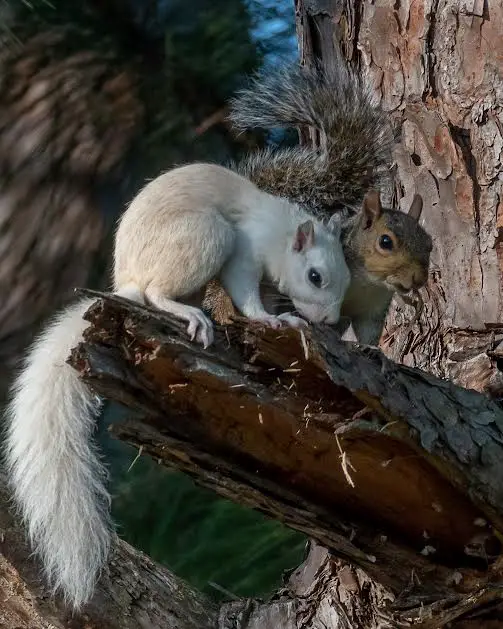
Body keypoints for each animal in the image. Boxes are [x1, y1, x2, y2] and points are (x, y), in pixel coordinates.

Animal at [3, 162, 350, 608]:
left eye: (346, 278)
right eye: (315, 276)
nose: (329, 322)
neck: (277, 230)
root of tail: (126, 283)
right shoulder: (244, 252)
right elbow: (246, 295)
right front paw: (271, 319)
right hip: (207, 236)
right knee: (154, 293)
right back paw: (189, 314)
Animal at [205, 63, 434, 344]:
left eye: (430, 244)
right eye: (385, 242)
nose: (418, 279)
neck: (371, 284)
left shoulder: (372, 311)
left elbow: (368, 335)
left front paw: (373, 349)